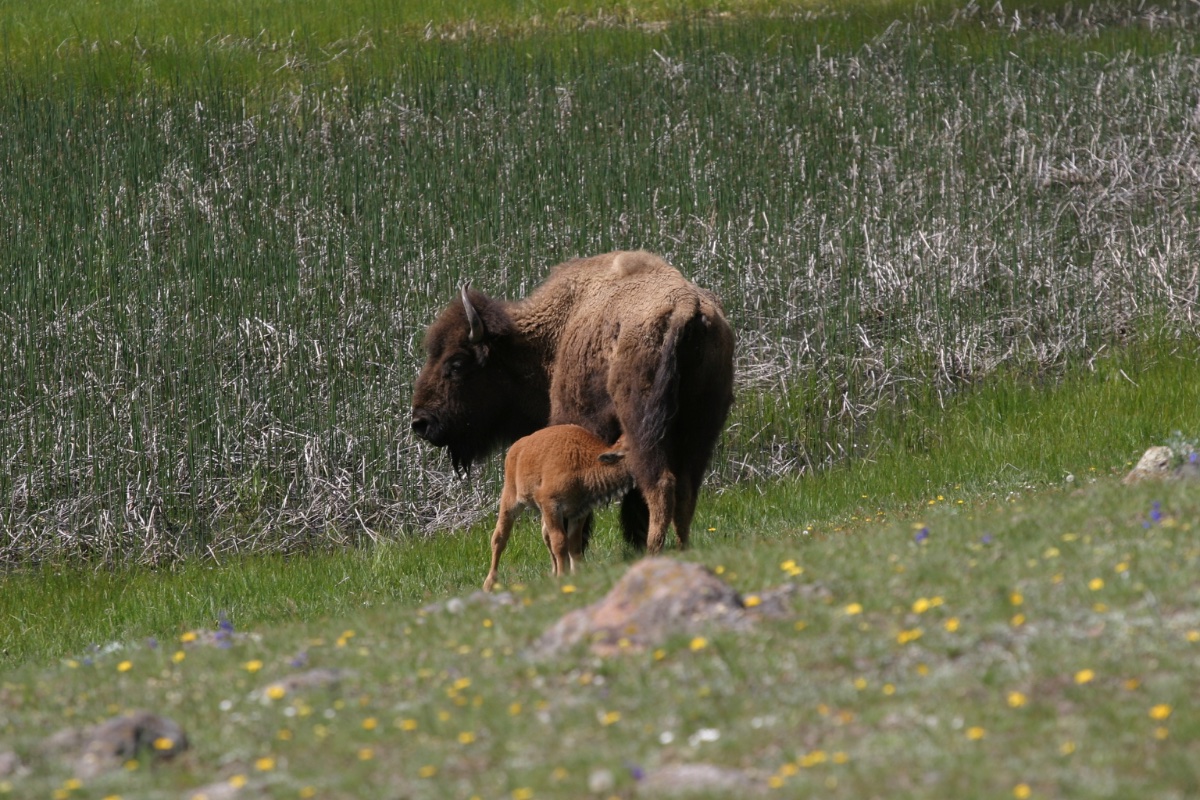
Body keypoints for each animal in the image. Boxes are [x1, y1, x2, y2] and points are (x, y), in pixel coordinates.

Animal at [411, 250, 735, 554]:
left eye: (456, 364)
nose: (420, 422)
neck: (553, 335)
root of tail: (686, 307)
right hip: (700, 428)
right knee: (686, 489)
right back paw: (679, 548)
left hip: (645, 428)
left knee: (660, 485)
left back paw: (654, 551)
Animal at [483, 425, 633, 591]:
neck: (587, 461)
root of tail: (515, 448)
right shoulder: (551, 505)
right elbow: (560, 543)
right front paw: (563, 576)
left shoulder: (578, 513)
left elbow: (574, 544)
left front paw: (575, 574)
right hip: (511, 500)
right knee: (499, 538)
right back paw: (489, 584)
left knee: (545, 536)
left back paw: (553, 573)